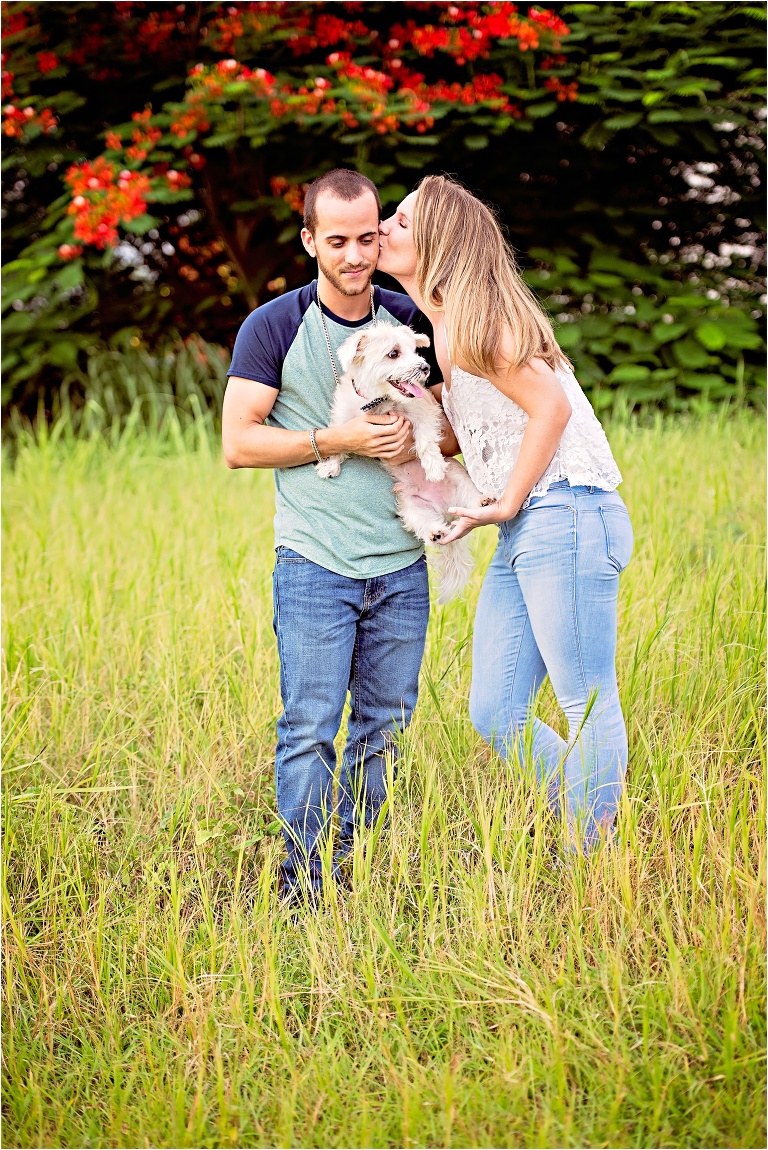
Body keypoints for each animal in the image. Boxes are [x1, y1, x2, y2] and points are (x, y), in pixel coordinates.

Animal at [317, 319, 492, 598]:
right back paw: (436, 532)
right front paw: (330, 465)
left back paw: (483, 501)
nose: (425, 367)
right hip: (412, 508)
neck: (380, 402)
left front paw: (433, 467)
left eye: (415, 351)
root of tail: (444, 509)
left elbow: (425, 439)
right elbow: (338, 440)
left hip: (459, 479)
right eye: (394, 353)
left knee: (472, 499)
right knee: (427, 525)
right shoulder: (346, 421)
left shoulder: (424, 410)